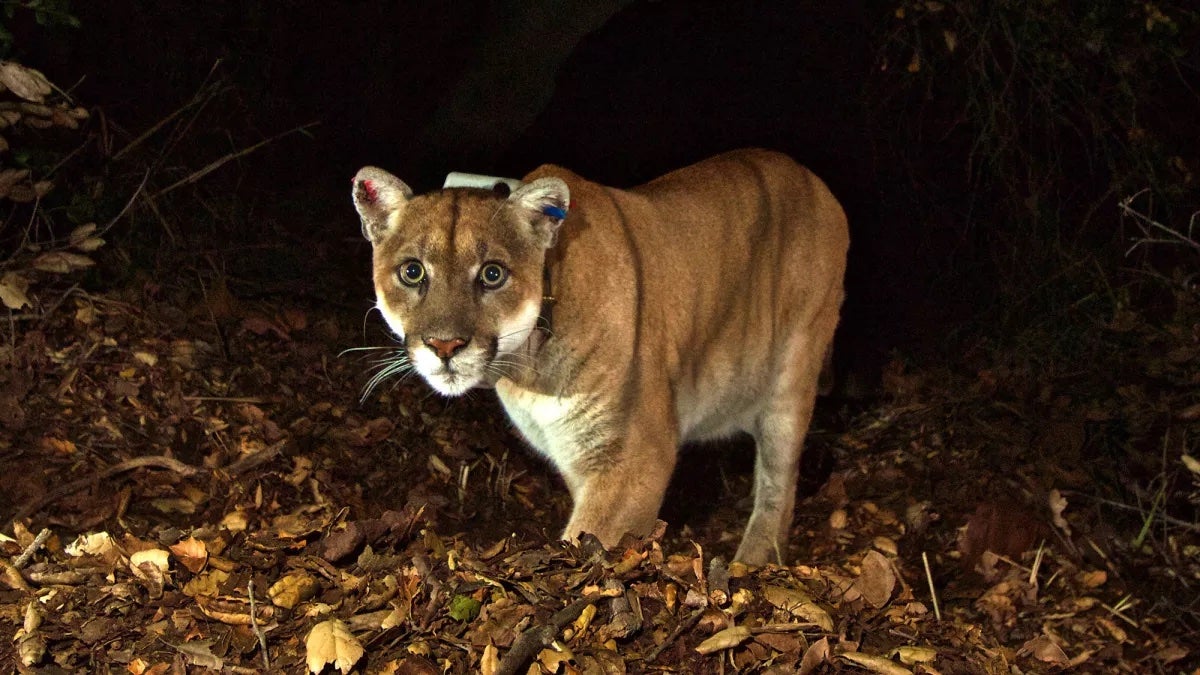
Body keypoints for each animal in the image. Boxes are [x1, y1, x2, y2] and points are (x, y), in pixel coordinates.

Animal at [350, 148, 849, 562]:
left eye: (492, 274)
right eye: (413, 272)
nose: (445, 345)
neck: (526, 367)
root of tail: (816, 182)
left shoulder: (634, 458)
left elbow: (589, 542)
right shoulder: (575, 453)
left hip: (792, 375)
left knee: (778, 485)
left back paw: (752, 562)